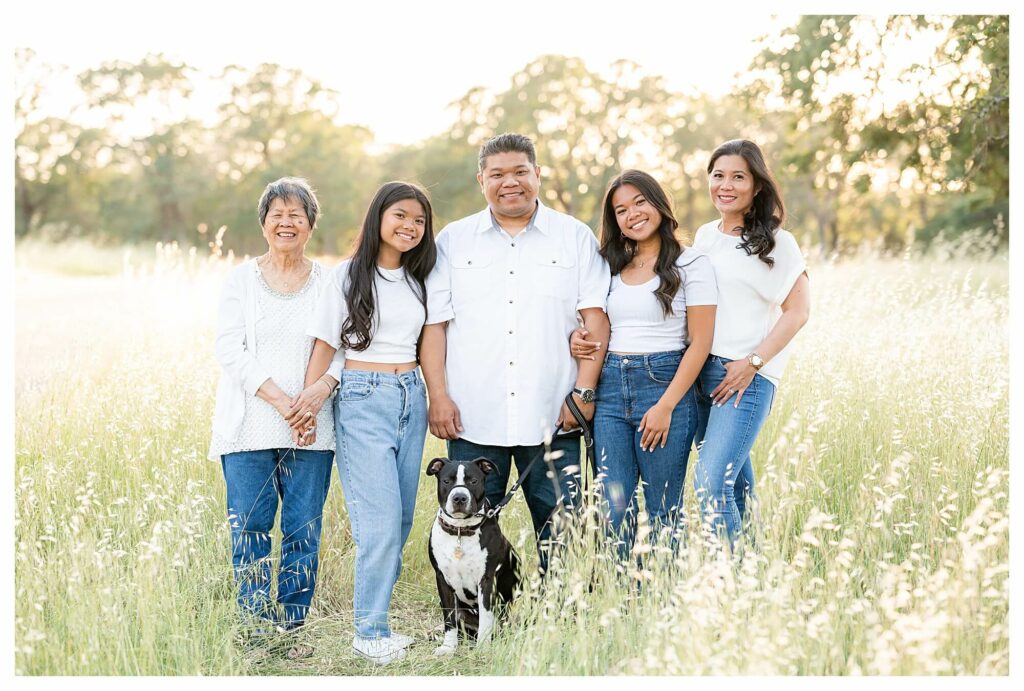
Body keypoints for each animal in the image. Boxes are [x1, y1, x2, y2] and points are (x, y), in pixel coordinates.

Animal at [423, 456, 520, 655]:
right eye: (447, 481)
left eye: (473, 481)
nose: (459, 497)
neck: (460, 531)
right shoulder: (442, 579)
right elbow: (449, 618)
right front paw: (448, 647)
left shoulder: (487, 580)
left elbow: (486, 617)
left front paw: (483, 648)